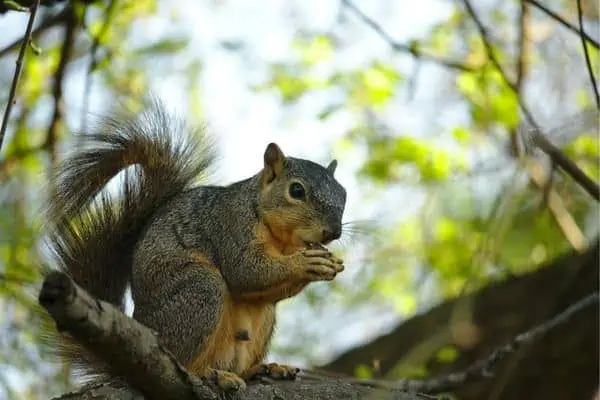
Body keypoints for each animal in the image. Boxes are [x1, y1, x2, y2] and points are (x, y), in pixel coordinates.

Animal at [44, 99, 346, 390]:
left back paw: (264, 368)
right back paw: (213, 375)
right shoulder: (230, 226)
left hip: (261, 320)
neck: (278, 236)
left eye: (343, 194)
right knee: (185, 360)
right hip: (199, 291)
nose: (333, 231)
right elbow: (245, 272)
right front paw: (307, 263)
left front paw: (327, 263)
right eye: (296, 190)